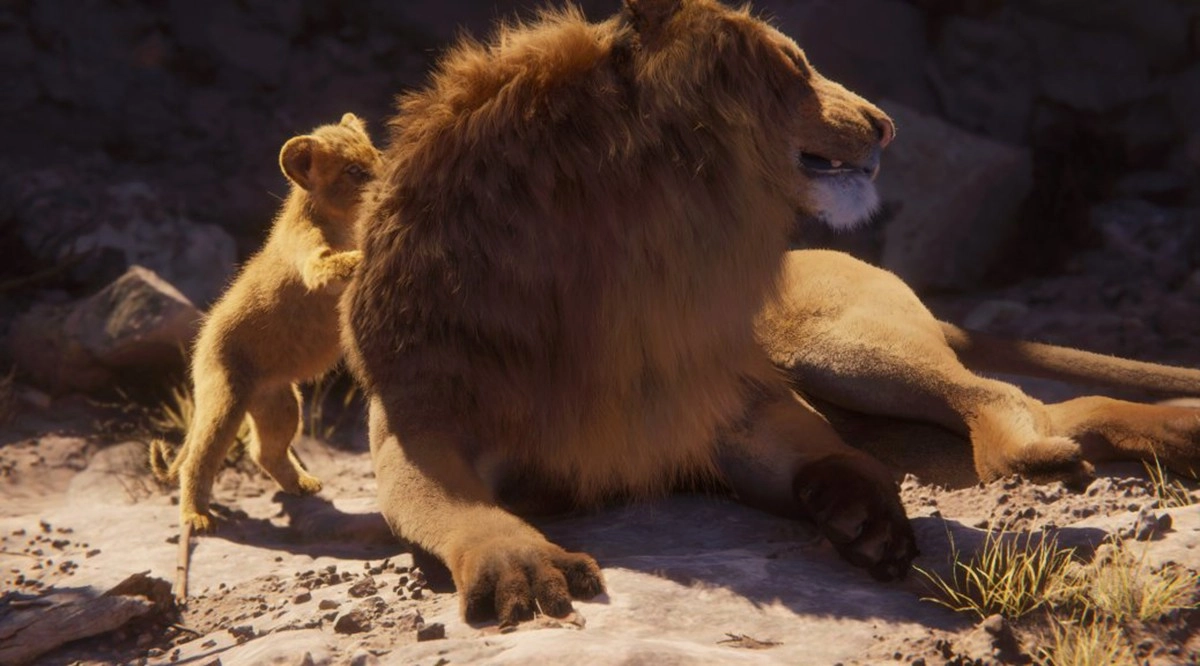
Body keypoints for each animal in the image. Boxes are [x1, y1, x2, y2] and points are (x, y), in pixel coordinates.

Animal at [150, 113, 380, 599]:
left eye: (376, 154)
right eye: (354, 171)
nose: (386, 175)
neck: (338, 216)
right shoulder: (310, 257)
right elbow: (333, 263)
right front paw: (362, 255)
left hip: (280, 402)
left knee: (265, 452)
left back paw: (304, 485)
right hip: (224, 398)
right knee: (198, 459)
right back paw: (197, 516)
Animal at [342, 0, 914, 625]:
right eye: (794, 63)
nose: (886, 126)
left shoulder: (708, 396)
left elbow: (826, 442)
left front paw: (869, 512)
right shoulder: (419, 421)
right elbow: (462, 507)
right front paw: (522, 564)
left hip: (861, 357)